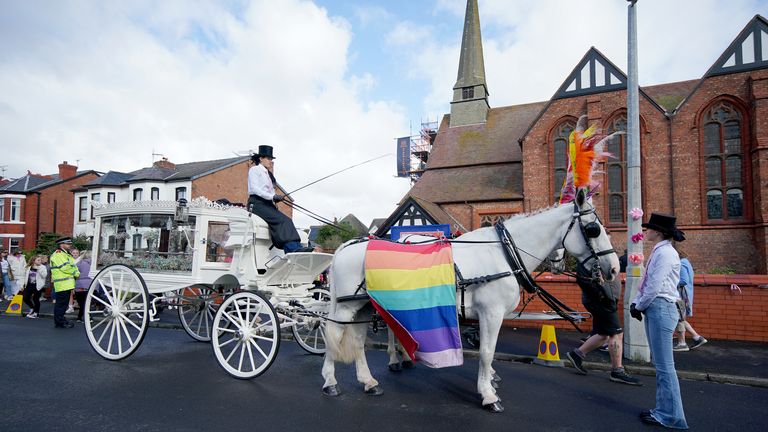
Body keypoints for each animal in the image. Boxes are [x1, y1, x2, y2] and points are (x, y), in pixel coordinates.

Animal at [318, 192, 616, 412]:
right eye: (593, 229)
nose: (613, 268)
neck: (503, 251)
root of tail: (346, 246)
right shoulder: (491, 313)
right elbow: (486, 353)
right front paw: (488, 395)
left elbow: (488, 352)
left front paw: (490, 383)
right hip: (346, 307)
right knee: (332, 334)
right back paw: (331, 381)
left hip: (363, 306)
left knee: (358, 341)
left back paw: (369, 381)